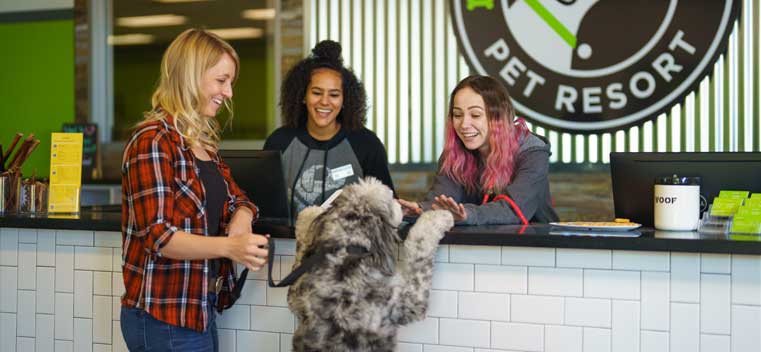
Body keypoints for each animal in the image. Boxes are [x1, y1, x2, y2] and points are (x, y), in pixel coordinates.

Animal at [284, 177, 452, 350]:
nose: (400, 203)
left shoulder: (296, 297)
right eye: (390, 198)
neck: (349, 249)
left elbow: (299, 255)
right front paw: (439, 216)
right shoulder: (407, 303)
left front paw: (308, 214)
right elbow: (420, 248)